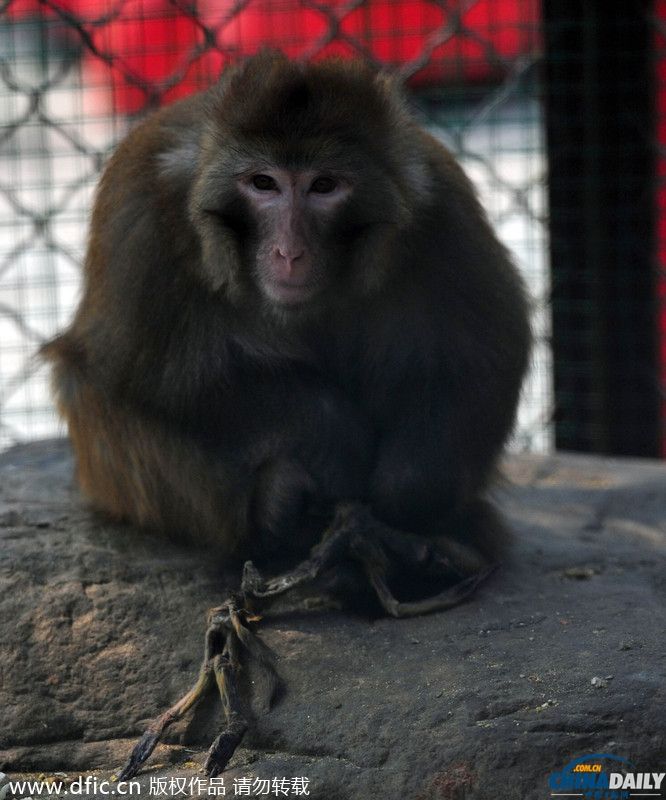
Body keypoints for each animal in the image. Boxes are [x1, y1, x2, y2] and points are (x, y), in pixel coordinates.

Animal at [41, 50, 528, 776]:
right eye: (263, 184)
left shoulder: (442, 211)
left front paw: (396, 508)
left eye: (323, 186)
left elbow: (481, 359)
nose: (289, 251)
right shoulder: (140, 214)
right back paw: (285, 514)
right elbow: (134, 370)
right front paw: (329, 441)